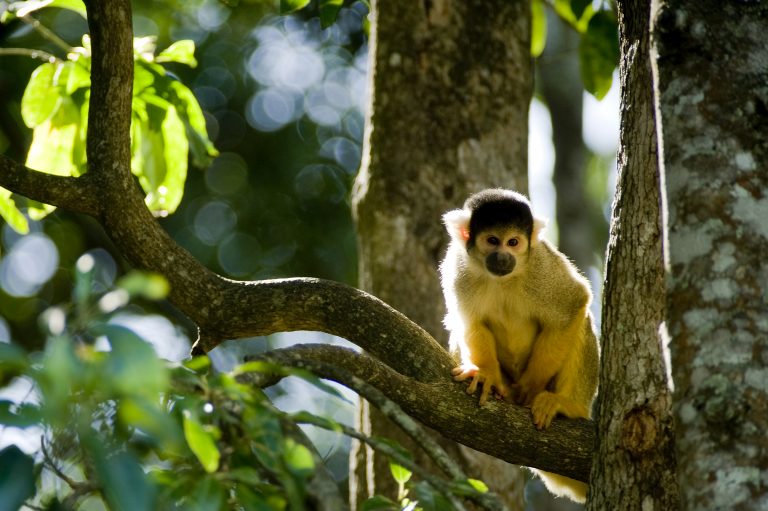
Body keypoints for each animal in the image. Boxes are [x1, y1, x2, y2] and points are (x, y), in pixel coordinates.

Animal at [438, 188, 600, 504]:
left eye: (513, 242)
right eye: (492, 241)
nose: (503, 257)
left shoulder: (541, 264)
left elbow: (573, 303)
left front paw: (531, 386)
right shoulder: (458, 269)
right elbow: (470, 321)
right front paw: (486, 375)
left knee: (580, 320)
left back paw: (569, 405)